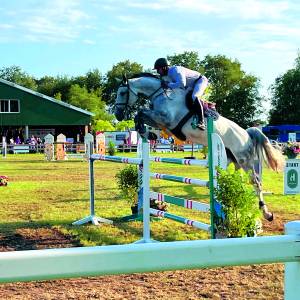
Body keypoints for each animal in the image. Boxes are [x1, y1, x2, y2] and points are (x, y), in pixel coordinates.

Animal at [114, 74, 284, 221]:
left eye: (122, 92)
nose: (117, 114)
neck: (161, 94)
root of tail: (247, 134)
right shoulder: (161, 121)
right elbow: (142, 116)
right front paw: (146, 133)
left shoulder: (165, 119)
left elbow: (141, 113)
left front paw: (142, 130)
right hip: (231, 161)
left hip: (245, 160)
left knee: (256, 182)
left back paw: (266, 213)